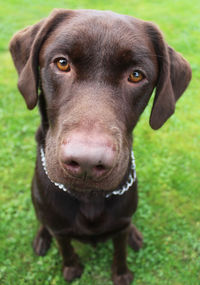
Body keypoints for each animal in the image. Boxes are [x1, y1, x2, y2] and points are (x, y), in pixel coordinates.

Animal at [9, 8, 191, 284]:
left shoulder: (120, 224)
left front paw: (122, 273)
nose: (86, 162)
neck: (89, 197)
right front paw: (72, 269)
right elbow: (65, 247)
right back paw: (41, 237)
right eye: (62, 63)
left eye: (136, 75)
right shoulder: (59, 228)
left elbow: (120, 248)